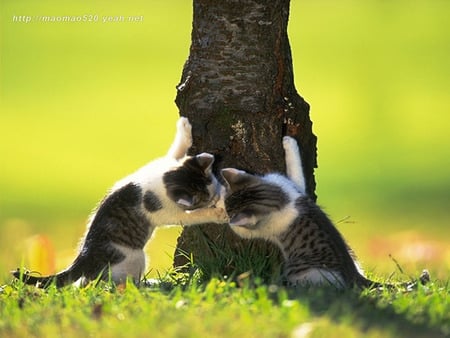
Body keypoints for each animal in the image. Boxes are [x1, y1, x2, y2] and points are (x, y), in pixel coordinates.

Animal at [13, 117, 229, 288]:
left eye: (215, 182)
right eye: (208, 199)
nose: (219, 195)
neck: (162, 179)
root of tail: (84, 258)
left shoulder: (163, 164)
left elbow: (173, 152)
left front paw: (184, 128)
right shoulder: (167, 211)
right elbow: (191, 217)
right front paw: (218, 213)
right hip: (133, 257)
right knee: (118, 283)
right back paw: (149, 284)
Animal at [221, 137, 428, 288]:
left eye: (230, 212)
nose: (225, 210)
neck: (282, 198)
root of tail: (354, 275)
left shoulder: (261, 228)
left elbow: (240, 230)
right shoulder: (296, 187)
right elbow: (297, 170)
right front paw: (289, 141)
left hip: (300, 270)